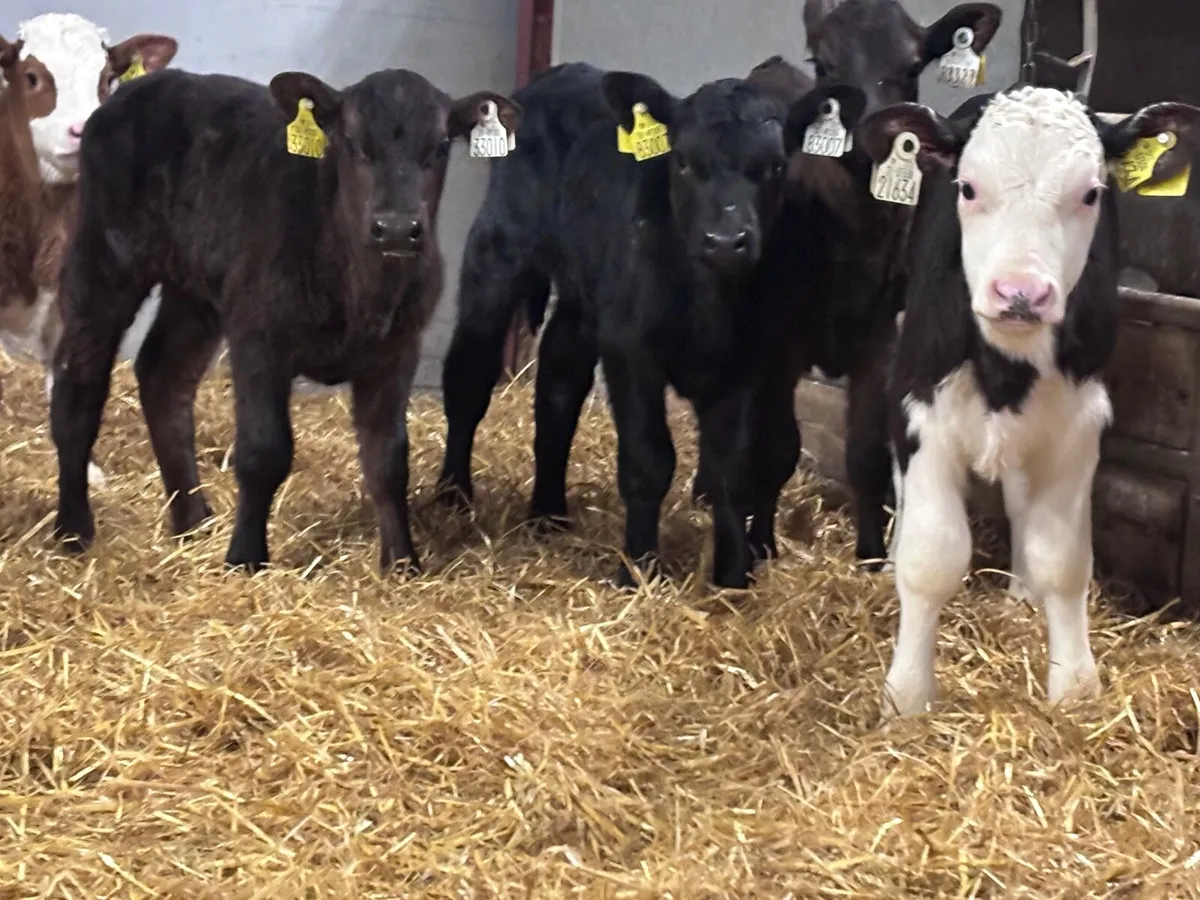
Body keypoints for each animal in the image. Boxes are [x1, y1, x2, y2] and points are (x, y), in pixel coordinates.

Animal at [49, 66, 521, 574]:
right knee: (78, 379)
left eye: (439, 146)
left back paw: (192, 520)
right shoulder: (259, 336)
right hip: (106, 259)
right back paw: (73, 529)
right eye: (351, 141)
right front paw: (245, 558)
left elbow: (389, 458)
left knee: (163, 376)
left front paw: (401, 562)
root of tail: (150, 83)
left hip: (196, 291)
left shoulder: (399, 348)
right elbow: (264, 449)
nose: (396, 229)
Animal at [855, 87, 1200, 717]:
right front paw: (907, 698)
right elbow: (931, 557)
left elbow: (1062, 560)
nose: (1021, 293)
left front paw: (1075, 689)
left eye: (1091, 193)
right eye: (968, 187)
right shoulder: (920, 408)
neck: (1007, 368)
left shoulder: (1078, 422)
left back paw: (1021, 590)